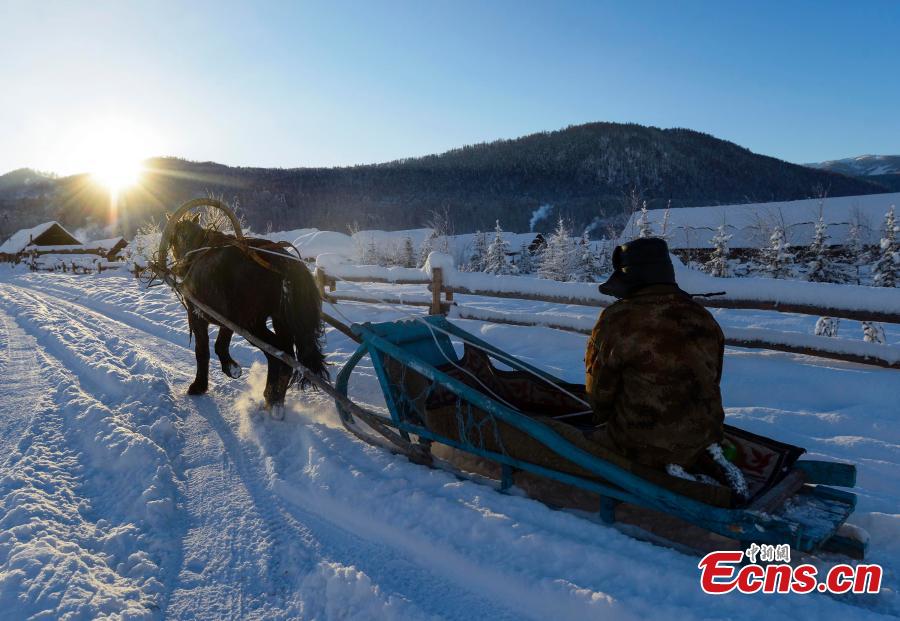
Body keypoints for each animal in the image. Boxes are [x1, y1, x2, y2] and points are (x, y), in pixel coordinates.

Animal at [169, 214, 326, 416]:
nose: (178, 267)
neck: (196, 251)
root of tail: (284, 264)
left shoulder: (201, 315)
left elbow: (205, 350)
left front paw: (204, 383)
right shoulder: (227, 319)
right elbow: (218, 345)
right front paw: (228, 368)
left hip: (250, 324)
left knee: (278, 353)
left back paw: (273, 398)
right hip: (274, 322)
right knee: (282, 354)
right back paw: (274, 400)